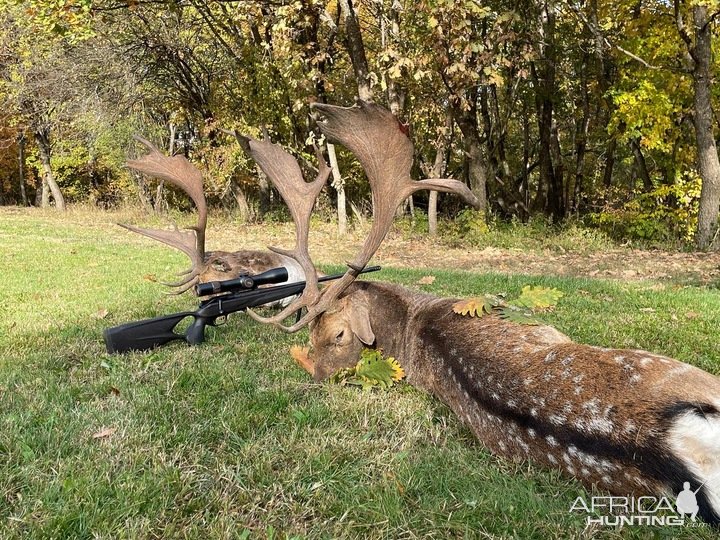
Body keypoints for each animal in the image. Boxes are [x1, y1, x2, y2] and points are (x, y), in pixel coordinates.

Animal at [232, 99, 720, 524]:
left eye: (332, 336)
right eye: (316, 338)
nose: (313, 378)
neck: (417, 321)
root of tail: (673, 448)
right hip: (691, 373)